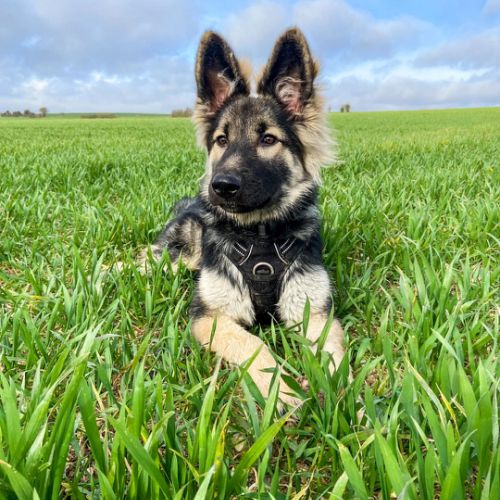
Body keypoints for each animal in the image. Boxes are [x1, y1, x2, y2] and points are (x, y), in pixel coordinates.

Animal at [142, 27, 346, 407]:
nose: (221, 187)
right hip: (174, 258)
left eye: (268, 139)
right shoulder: (210, 317)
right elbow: (253, 343)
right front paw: (280, 389)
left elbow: (330, 354)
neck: (260, 238)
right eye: (222, 140)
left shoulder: (313, 312)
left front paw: (340, 395)